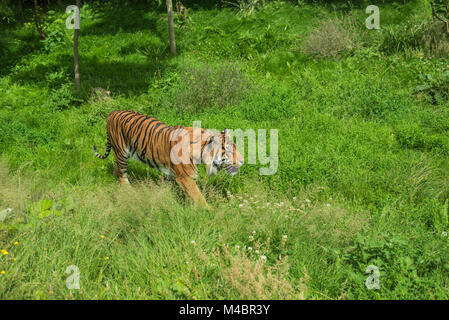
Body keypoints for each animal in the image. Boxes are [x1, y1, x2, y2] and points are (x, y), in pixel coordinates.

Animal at [92, 110, 243, 210]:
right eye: (229, 150)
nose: (242, 161)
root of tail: (112, 113)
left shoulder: (170, 174)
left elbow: (163, 188)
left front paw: (159, 200)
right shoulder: (186, 177)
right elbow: (198, 197)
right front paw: (211, 212)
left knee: (117, 170)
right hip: (121, 152)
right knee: (122, 174)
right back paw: (129, 192)